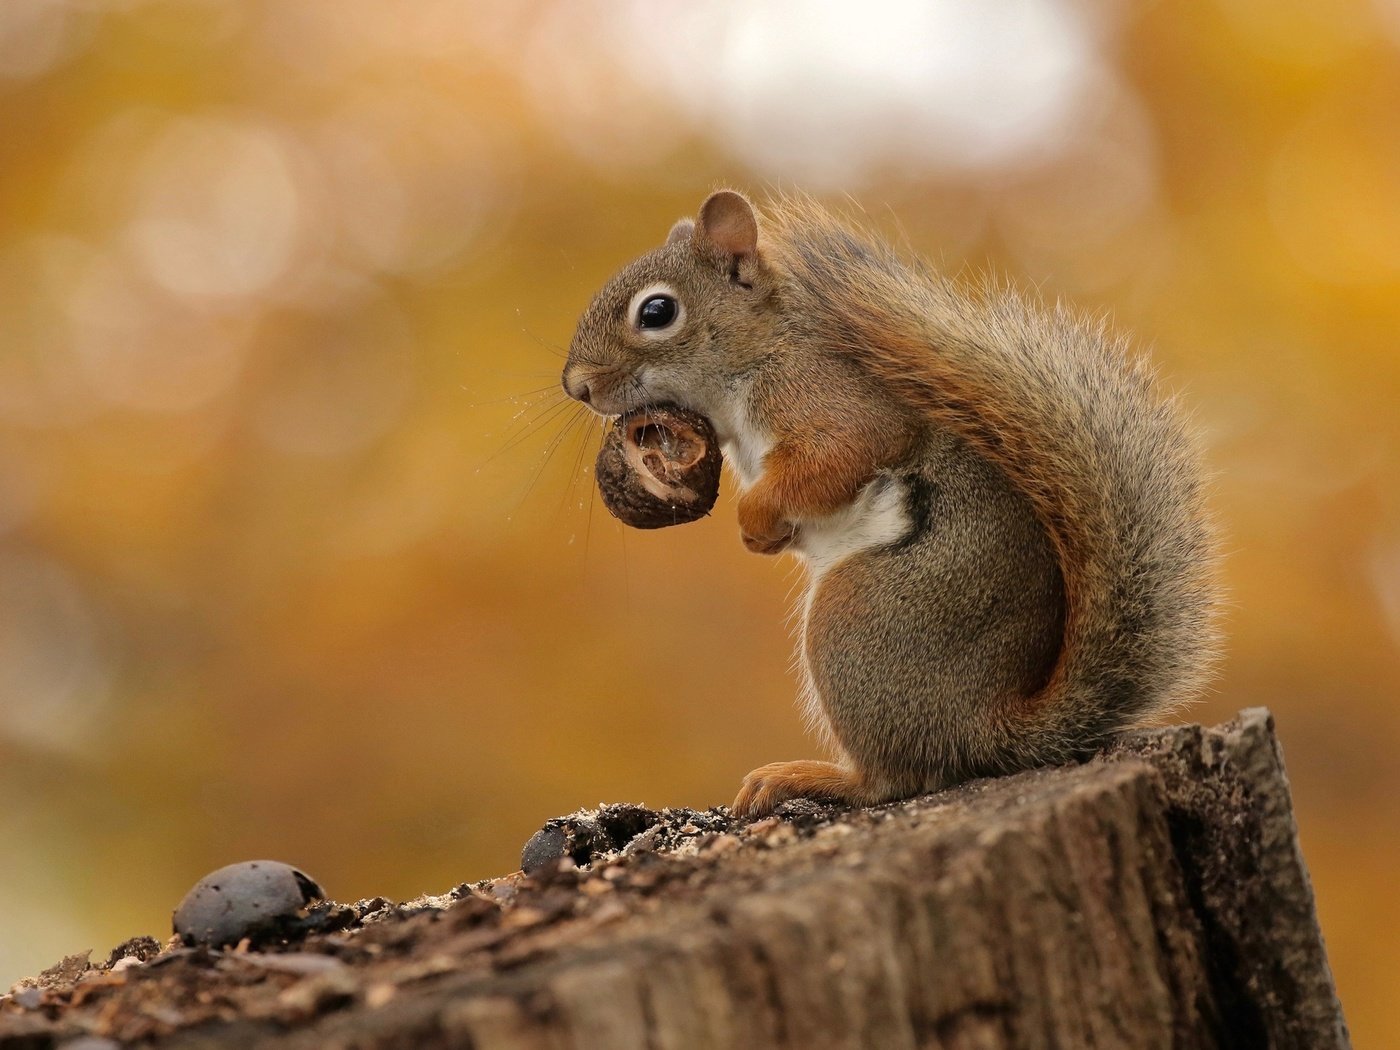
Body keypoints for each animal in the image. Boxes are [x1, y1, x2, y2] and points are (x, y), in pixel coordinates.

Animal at [562, 191, 1220, 823]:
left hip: (855, 620)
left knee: (893, 779)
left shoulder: (824, 399)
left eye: (657, 312)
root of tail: (985, 727)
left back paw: (808, 777)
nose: (576, 386)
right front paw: (764, 536)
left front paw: (753, 520)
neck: (758, 352)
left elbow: (843, 453)